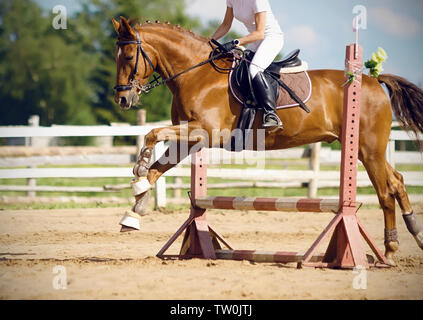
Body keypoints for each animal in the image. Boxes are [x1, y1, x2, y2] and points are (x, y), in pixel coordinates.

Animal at [112, 16, 423, 264]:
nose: (123, 99)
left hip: (368, 150)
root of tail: (373, 79)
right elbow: (156, 169)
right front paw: (134, 211)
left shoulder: (206, 132)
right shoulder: (190, 139)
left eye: (127, 57)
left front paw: (139, 168)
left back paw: (390, 250)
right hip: (366, 150)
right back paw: (413, 234)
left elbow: (152, 134)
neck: (196, 73)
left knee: (385, 191)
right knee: (397, 181)